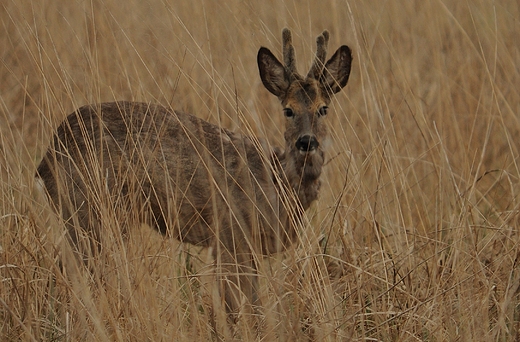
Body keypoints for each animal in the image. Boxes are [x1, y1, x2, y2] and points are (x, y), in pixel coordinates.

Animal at [36, 28, 354, 318]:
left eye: (323, 108)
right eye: (288, 110)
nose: (306, 141)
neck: (277, 183)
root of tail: (45, 160)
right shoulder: (230, 234)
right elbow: (240, 306)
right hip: (89, 210)